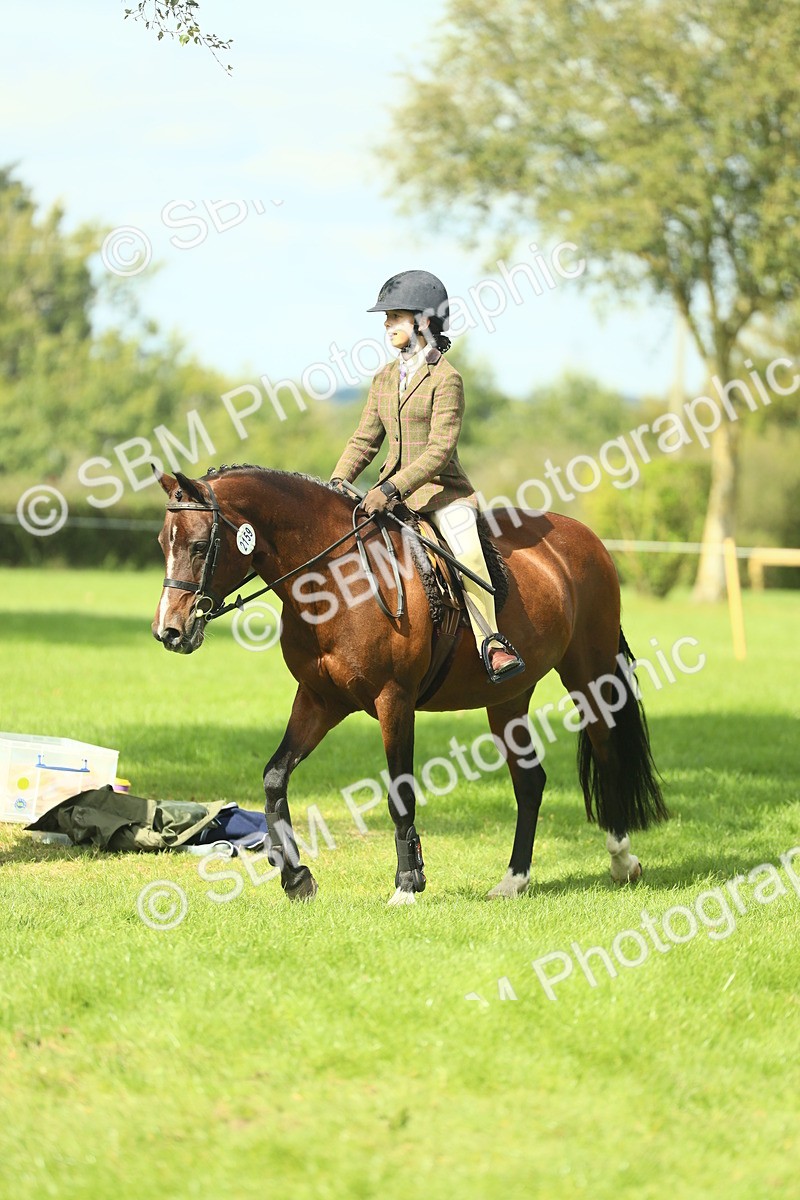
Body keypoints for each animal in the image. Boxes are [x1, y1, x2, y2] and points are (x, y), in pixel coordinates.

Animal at [151, 464, 667, 905]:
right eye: (162, 542)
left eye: (199, 546)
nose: (169, 631)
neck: (335, 580)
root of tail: (584, 536)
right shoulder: (319, 700)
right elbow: (275, 777)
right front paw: (297, 878)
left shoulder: (393, 699)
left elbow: (400, 793)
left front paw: (407, 884)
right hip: (507, 698)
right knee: (530, 781)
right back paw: (513, 880)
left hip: (589, 673)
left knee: (606, 752)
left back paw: (622, 861)